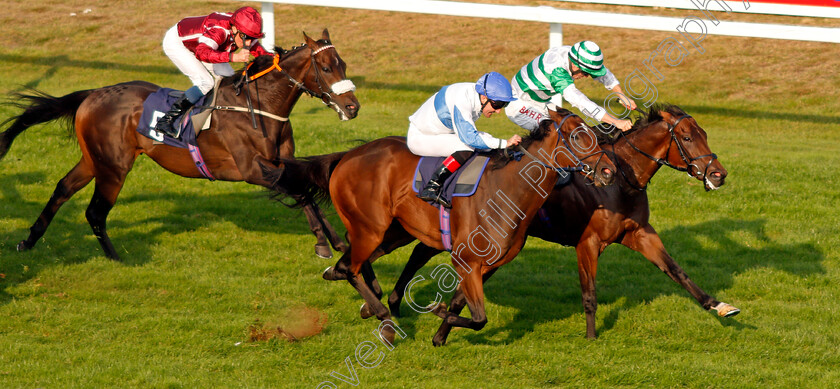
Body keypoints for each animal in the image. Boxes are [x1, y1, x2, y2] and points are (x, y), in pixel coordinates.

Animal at [0, 29, 358, 260]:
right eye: (326, 67)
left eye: (343, 65)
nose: (353, 107)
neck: (260, 105)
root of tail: (94, 93)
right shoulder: (253, 170)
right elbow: (302, 192)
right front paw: (331, 243)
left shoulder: (281, 163)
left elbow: (306, 191)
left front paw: (330, 242)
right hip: (114, 166)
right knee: (95, 211)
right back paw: (116, 257)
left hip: (94, 160)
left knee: (62, 188)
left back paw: (27, 242)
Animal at [270, 107, 616, 344]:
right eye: (577, 135)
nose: (609, 171)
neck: (508, 191)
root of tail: (348, 155)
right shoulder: (465, 260)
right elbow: (478, 317)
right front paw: (436, 313)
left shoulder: (488, 264)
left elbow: (466, 307)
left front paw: (440, 334)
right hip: (371, 228)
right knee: (351, 267)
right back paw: (384, 320)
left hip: (393, 231)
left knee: (349, 262)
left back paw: (363, 296)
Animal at [378, 104, 740, 342]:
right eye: (687, 138)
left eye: (704, 134)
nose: (719, 175)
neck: (620, 182)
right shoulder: (588, 242)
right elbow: (590, 293)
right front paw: (591, 338)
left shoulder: (639, 233)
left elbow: (677, 272)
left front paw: (720, 306)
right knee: (408, 252)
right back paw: (391, 304)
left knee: (422, 254)